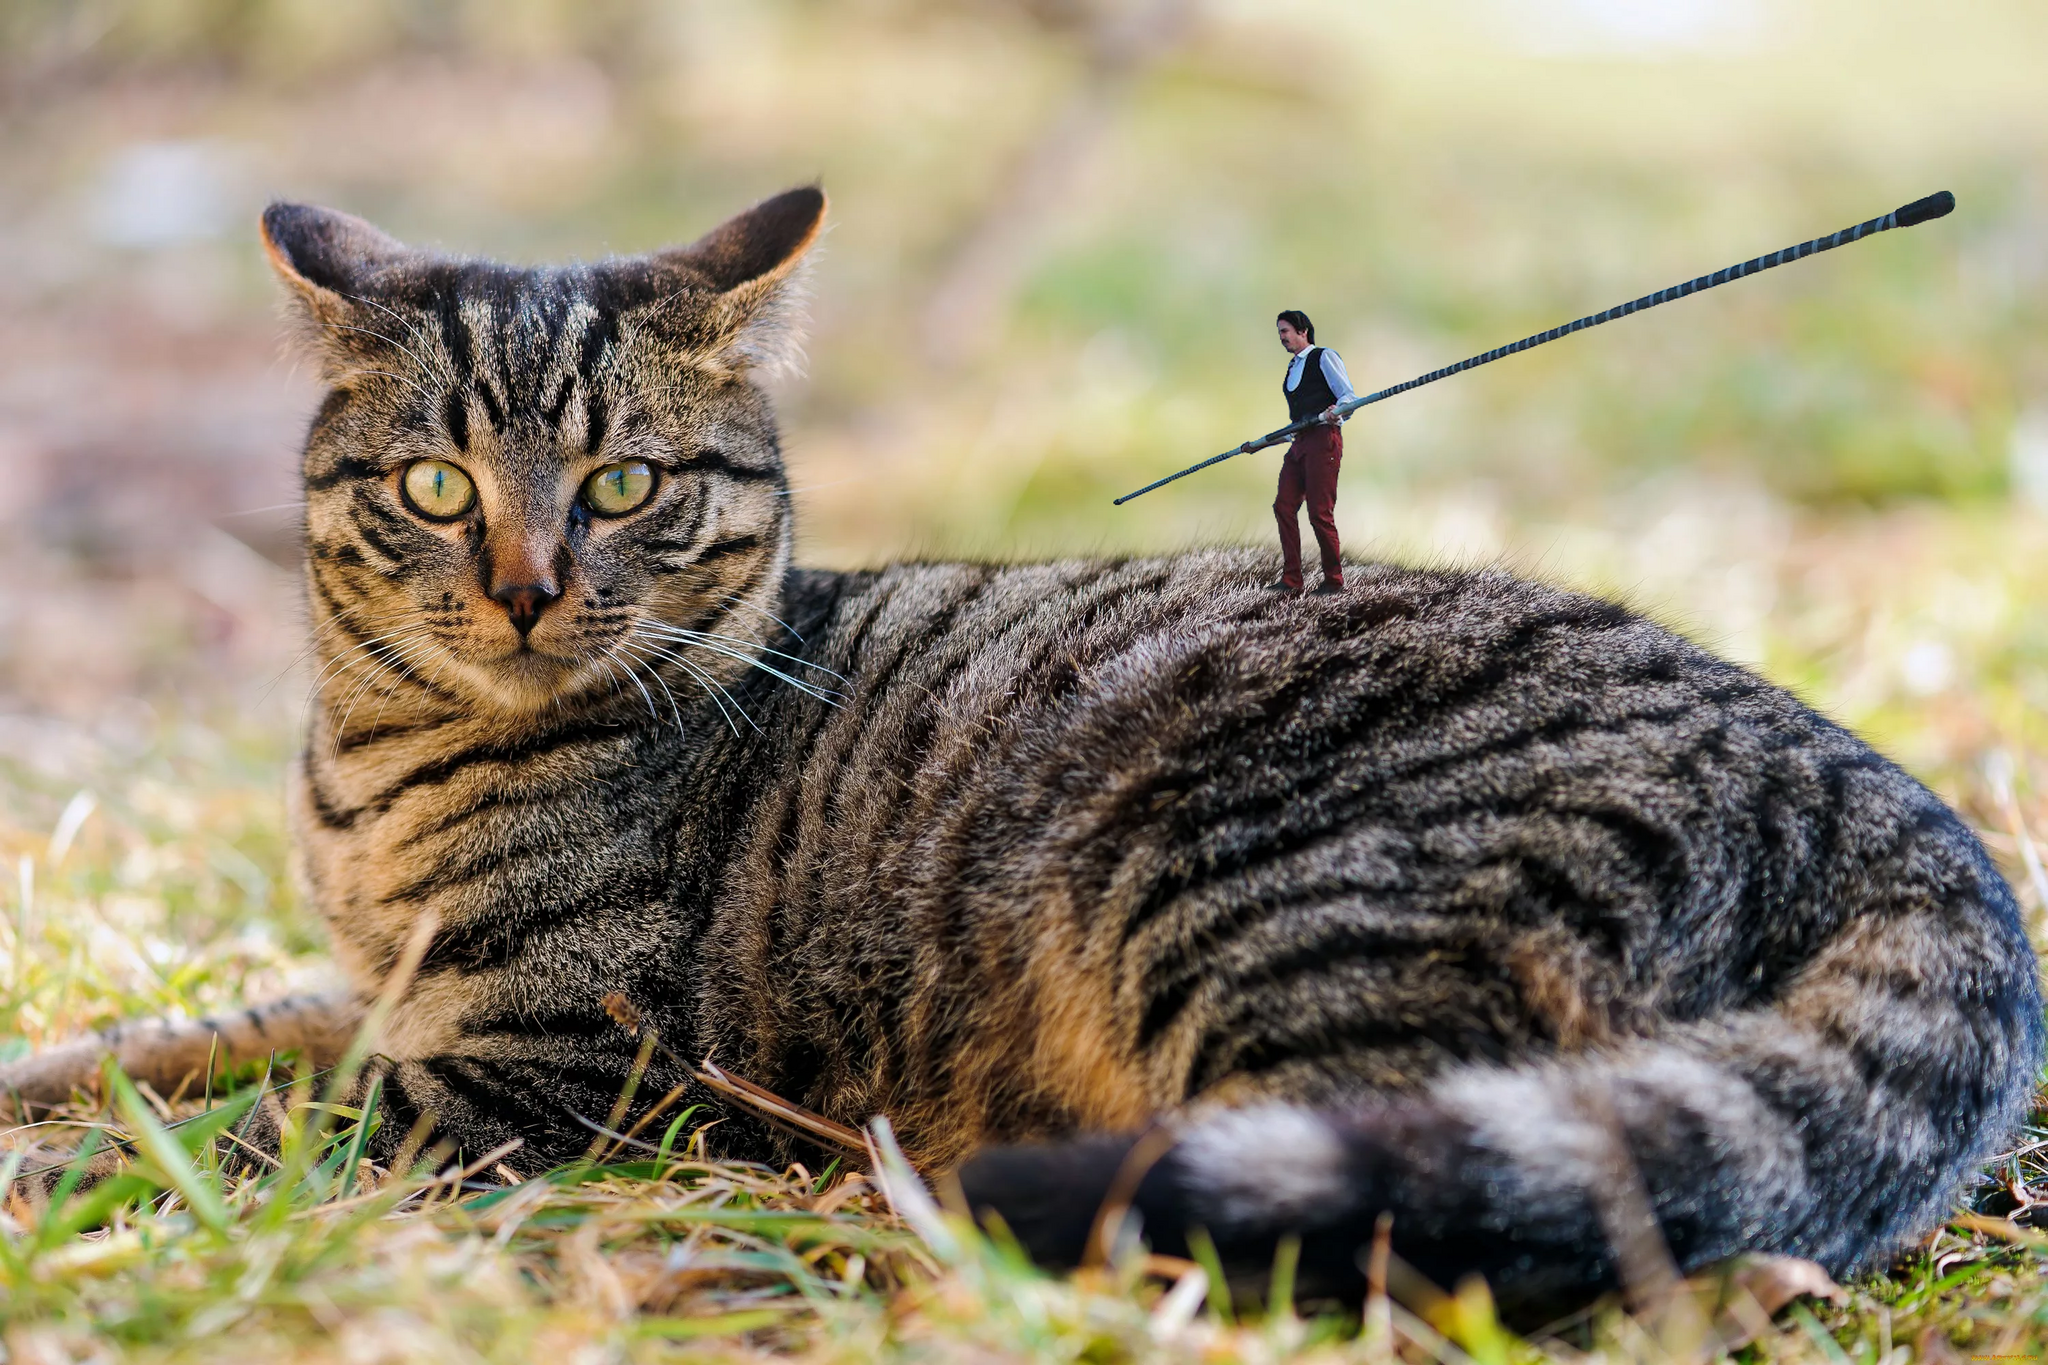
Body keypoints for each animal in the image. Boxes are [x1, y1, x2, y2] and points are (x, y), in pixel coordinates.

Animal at [8, 187, 2039, 1317]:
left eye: (626, 486)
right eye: (438, 488)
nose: (521, 588)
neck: (377, 766)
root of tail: (1883, 789)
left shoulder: (541, 1065)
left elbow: (247, 1124)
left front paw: (60, 1179)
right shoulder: (368, 994)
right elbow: (166, 1050)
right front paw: (61, 1071)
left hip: (1272, 919)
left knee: (1428, 1207)